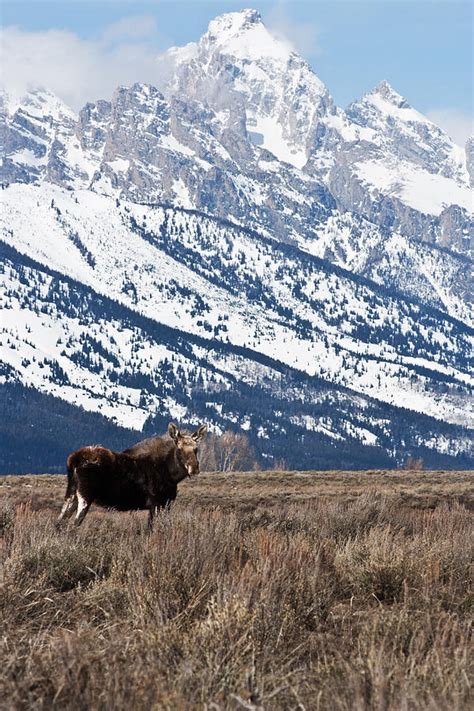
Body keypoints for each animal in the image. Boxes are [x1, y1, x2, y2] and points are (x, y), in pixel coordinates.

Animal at [56, 422, 206, 528]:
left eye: (196, 449)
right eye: (179, 449)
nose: (194, 468)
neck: (172, 475)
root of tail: (72, 460)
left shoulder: (165, 504)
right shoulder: (156, 503)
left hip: (71, 494)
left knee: (60, 523)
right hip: (85, 496)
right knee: (74, 524)